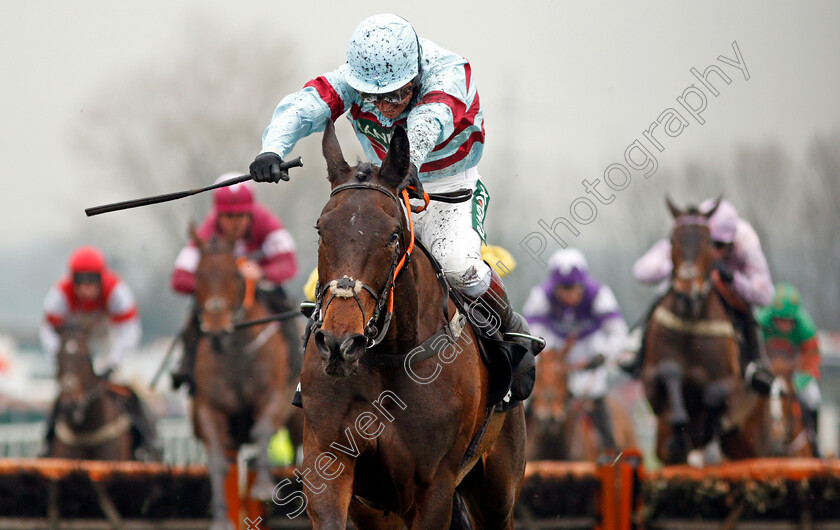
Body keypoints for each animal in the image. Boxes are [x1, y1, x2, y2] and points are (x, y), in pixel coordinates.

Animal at [187, 228, 302, 528]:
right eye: (198, 276)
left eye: (235, 275)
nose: (216, 331)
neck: (236, 351)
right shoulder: (208, 408)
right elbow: (217, 460)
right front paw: (219, 517)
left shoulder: (272, 395)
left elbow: (261, 430)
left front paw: (263, 487)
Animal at [298, 121, 524, 524]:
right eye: (321, 229)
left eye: (392, 236)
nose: (340, 343)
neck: (388, 357)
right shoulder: (329, 464)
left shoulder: (434, 485)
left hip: (497, 489)